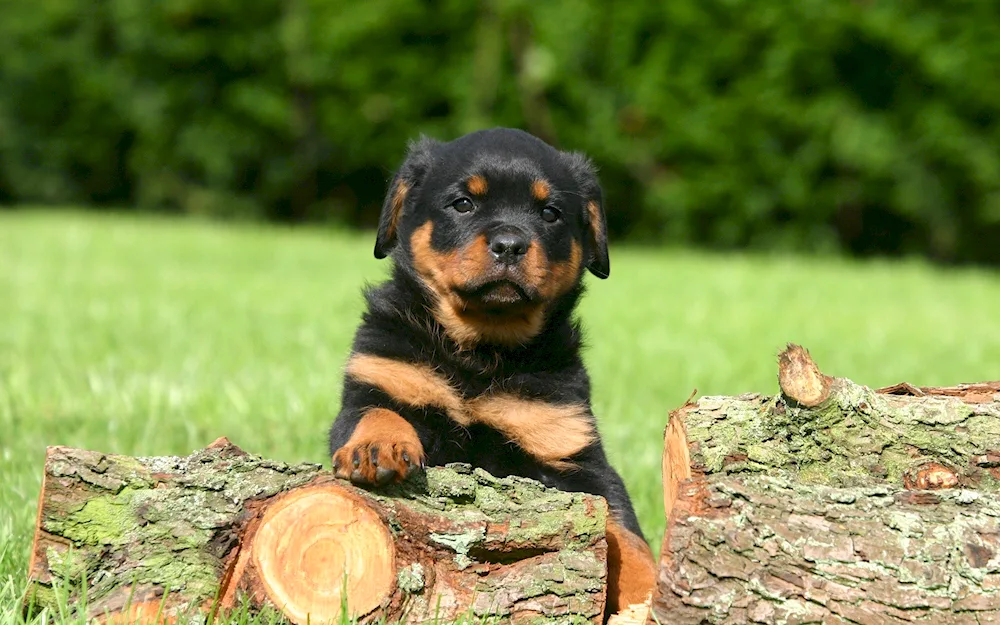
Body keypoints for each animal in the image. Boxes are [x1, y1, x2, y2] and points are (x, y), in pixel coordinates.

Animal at [328, 128, 656, 616]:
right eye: (463, 203)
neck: (482, 352)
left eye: (550, 213)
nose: (510, 245)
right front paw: (376, 447)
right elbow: (376, 412)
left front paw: (653, 590)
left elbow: (624, 531)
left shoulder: (570, 448)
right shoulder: (377, 377)